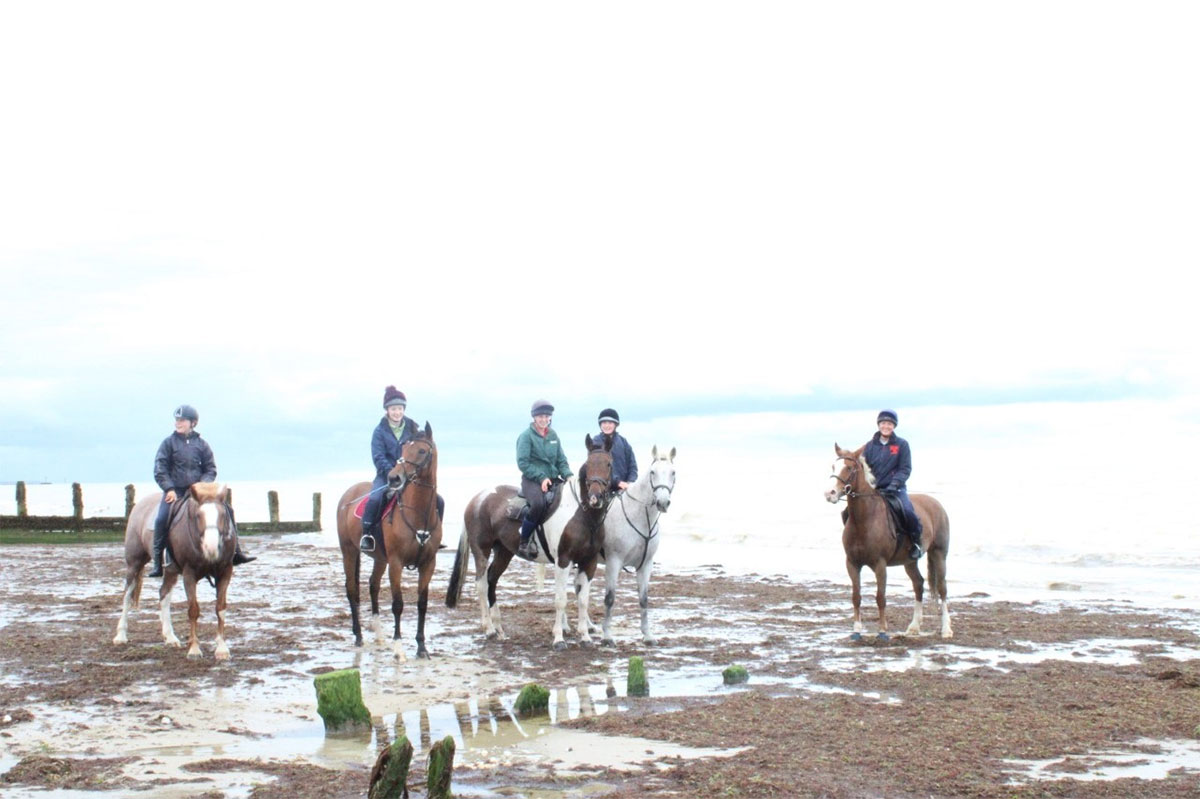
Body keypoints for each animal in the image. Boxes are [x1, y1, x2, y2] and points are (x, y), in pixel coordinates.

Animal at [113, 482, 240, 657]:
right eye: (198, 515)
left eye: (222, 515)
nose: (211, 548)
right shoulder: (189, 573)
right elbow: (193, 610)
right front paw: (194, 649)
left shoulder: (225, 572)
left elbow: (220, 608)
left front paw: (221, 649)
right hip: (134, 563)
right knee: (127, 595)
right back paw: (121, 635)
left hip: (171, 571)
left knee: (164, 594)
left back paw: (170, 637)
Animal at [336, 419, 444, 657]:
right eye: (402, 450)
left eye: (421, 450)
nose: (394, 478)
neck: (418, 513)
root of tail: (348, 494)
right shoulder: (396, 563)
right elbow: (398, 604)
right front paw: (399, 648)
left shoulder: (428, 563)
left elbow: (422, 603)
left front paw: (421, 647)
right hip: (349, 551)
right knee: (352, 589)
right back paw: (359, 636)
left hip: (379, 558)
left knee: (373, 585)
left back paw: (377, 634)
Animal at [444, 431, 609, 643]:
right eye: (589, 464)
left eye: (609, 464)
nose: (596, 498)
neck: (582, 514)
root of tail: (478, 498)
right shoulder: (563, 560)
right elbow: (561, 600)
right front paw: (559, 638)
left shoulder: (589, 562)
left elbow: (583, 600)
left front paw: (585, 636)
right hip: (481, 550)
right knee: (481, 584)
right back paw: (489, 629)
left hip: (503, 552)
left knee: (491, 580)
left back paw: (499, 629)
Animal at [592, 443, 676, 643]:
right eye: (653, 472)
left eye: (673, 472)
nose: (663, 502)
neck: (639, 517)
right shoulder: (614, 562)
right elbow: (610, 598)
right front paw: (607, 636)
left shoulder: (646, 565)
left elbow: (643, 599)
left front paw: (648, 635)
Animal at [820, 439, 950, 638]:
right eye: (834, 466)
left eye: (849, 468)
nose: (830, 494)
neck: (864, 519)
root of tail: (936, 504)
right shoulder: (852, 564)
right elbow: (856, 596)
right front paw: (856, 630)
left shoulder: (880, 565)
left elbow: (880, 597)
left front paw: (882, 631)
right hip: (909, 561)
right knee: (918, 584)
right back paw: (914, 627)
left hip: (939, 554)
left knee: (942, 588)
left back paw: (946, 629)